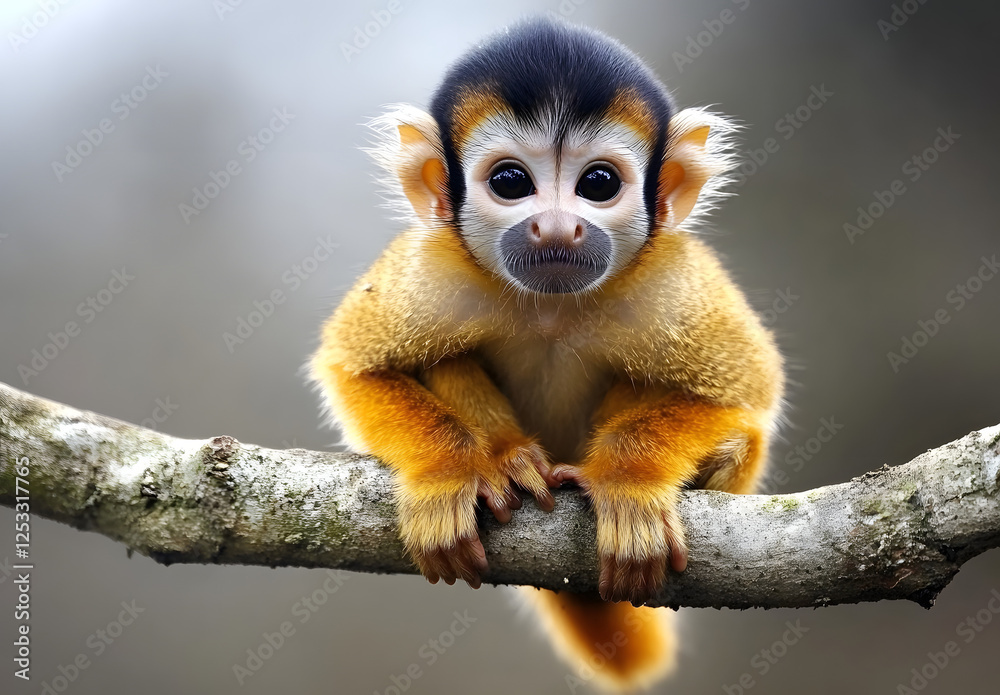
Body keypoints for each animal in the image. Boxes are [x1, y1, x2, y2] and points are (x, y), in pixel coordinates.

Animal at [310, 17, 783, 692]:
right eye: (510, 183)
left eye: (598, 184)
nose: (557, 229)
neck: (552, 307)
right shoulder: (437, 266)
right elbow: (351, 364)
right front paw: (448, 471)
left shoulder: (668, 278)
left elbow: (751, 390)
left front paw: (628, 480)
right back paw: (510, 458)